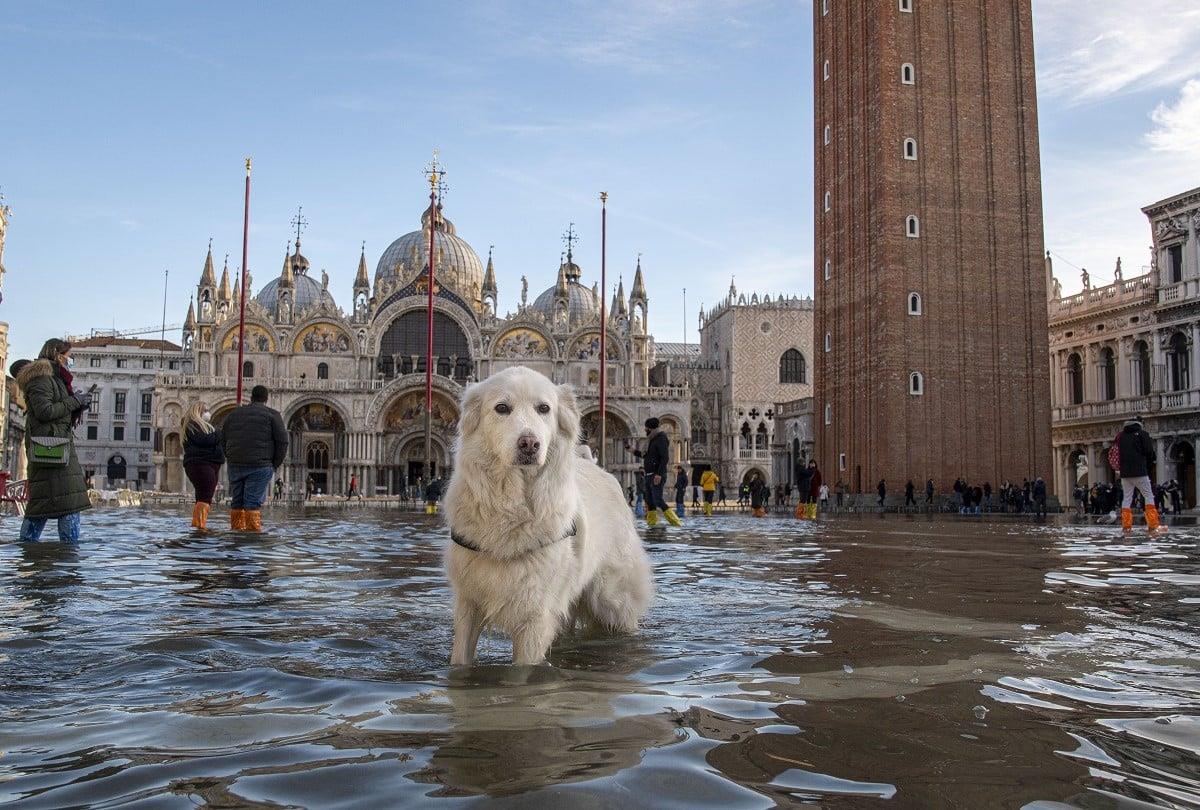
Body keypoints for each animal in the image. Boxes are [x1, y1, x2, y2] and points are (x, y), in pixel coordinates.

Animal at [444, 364, 652, 667]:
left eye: (544, 408)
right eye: (502, 408)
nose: (530, 443)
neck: (512, 508)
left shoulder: (535, 616)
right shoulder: (468, 604)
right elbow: (460, 659)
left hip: (612, 601)